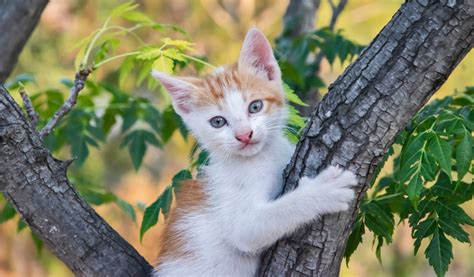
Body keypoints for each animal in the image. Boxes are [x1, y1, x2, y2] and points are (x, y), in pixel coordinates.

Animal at [152, 28, 356, 276]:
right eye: (218, 122)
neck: (263, 157)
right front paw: (324, 190)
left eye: (255, 106)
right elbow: (268, 218)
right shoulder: (239, 220)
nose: (244, 135)